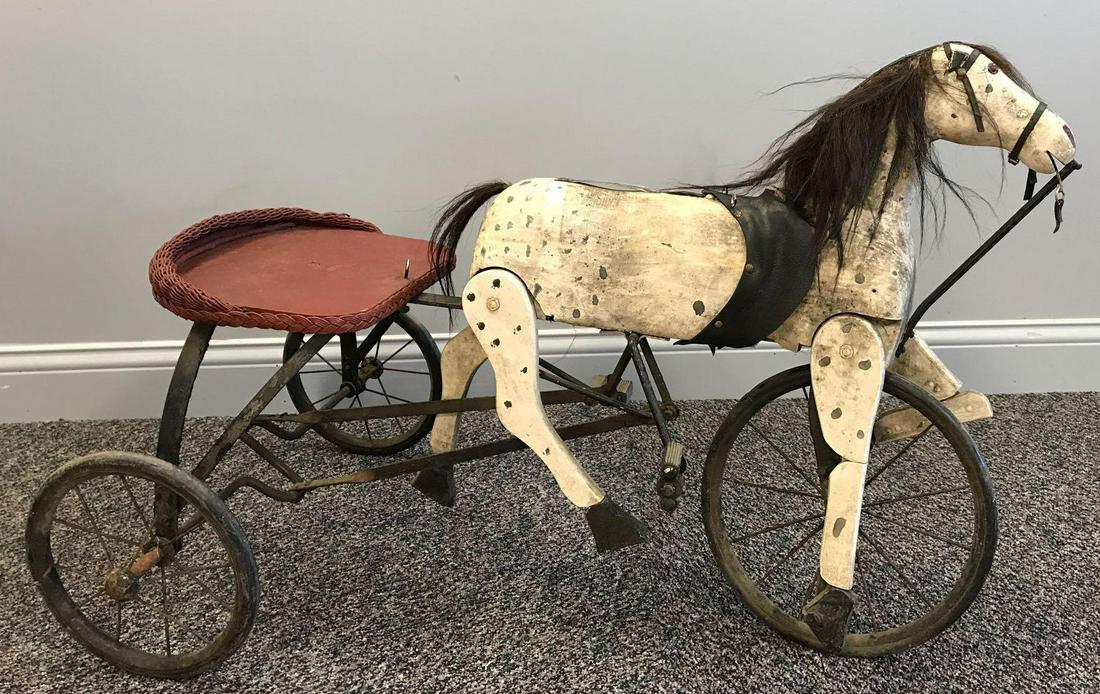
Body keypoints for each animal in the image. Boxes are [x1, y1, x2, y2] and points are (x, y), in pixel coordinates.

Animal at [425, 41, 1075, 642]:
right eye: (984, 77)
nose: (1065, 140)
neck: (838, 227)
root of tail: (504, 193)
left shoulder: (883, 334)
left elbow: (962, 404)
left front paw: (893, 427)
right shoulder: (849, 340)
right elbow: (850, 466)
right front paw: (829, 609)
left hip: (495, 314)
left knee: (457, 357)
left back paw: (435, 471)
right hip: (504, 302)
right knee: (518, 408)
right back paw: (607, 517)